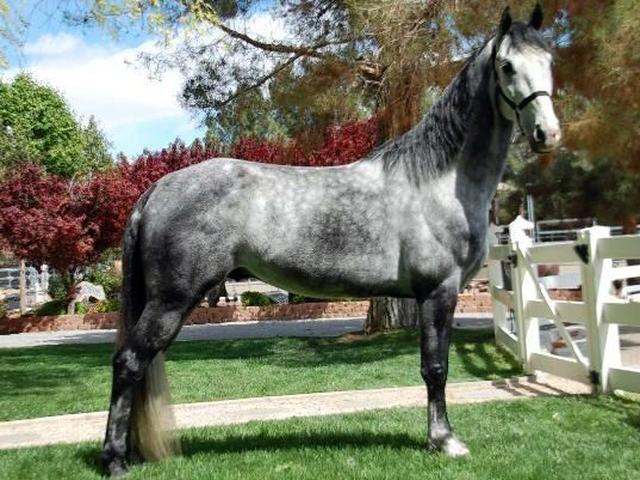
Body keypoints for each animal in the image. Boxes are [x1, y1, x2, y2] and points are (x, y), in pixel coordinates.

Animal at [101, 4, 561, 475]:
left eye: (549, 61)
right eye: (507, 66)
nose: (548, 133)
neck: (436, 180)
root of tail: (158, 188)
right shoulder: (439, 291)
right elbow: (436, 367)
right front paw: (444, 440)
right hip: (171, 301)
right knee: (129, 362)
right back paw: (115, 461)